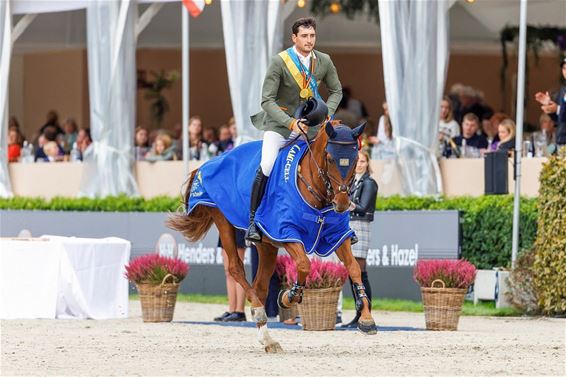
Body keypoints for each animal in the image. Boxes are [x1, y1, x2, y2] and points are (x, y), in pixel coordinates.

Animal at [171, 121, 380, 352]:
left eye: (356, 159)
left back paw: (267, 337)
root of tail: (207, 164)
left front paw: (366, 319)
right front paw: (289, 297)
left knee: (260, 285)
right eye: (330, 158)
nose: (342, 204)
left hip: (267, 245)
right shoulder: (285, 231)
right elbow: (304, 264)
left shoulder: (337, 236)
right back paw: (259, 311)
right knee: (235, 269)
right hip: (224, 220)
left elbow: (354, 268)